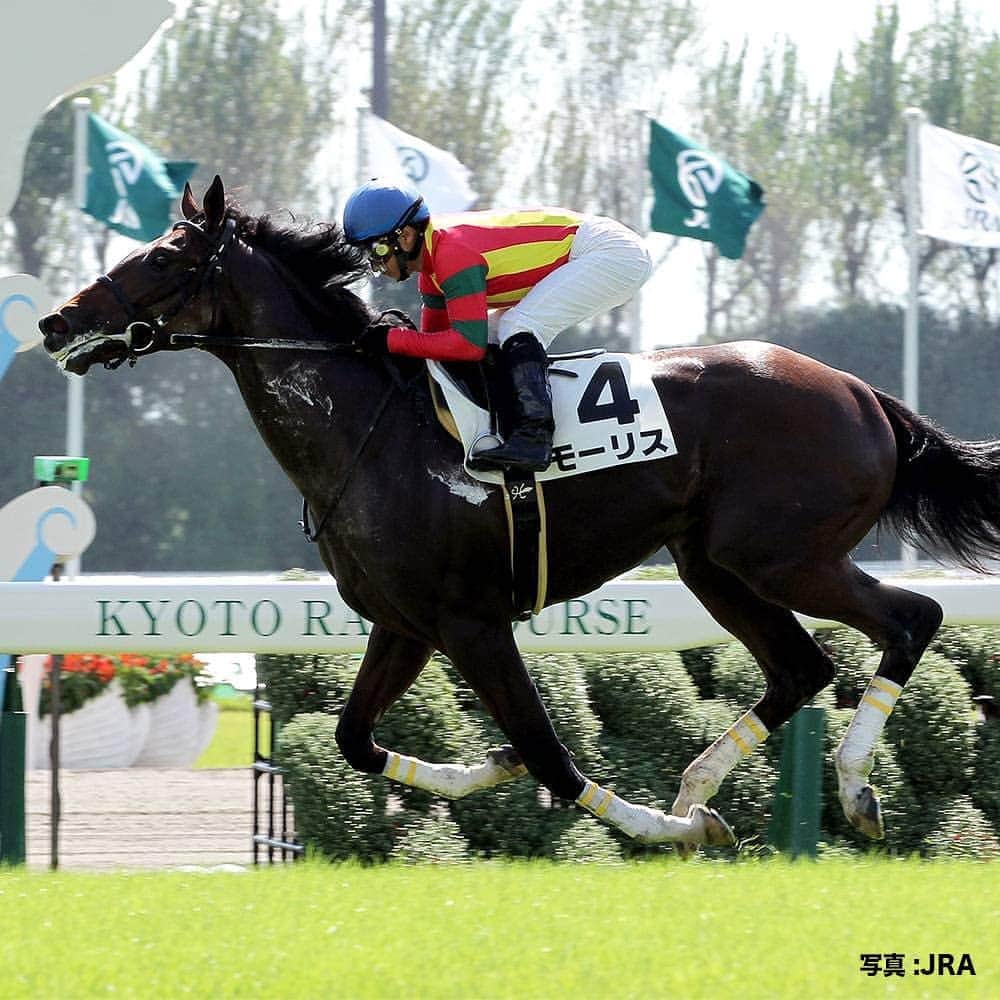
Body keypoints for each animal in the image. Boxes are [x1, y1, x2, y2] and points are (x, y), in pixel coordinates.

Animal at [39, 176, 1000, 850]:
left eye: (162, 260)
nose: (55, 321)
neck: (369, 430)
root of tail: (864, 395)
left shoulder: (471, 622)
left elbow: (548, 750)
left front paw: (657, 829)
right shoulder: (404, 623)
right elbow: (356, 740)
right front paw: (493, 770)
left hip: (782, 555)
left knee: (911, 618)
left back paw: (848, 787)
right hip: (712, 564)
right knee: (801, 667)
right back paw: (699, 789)